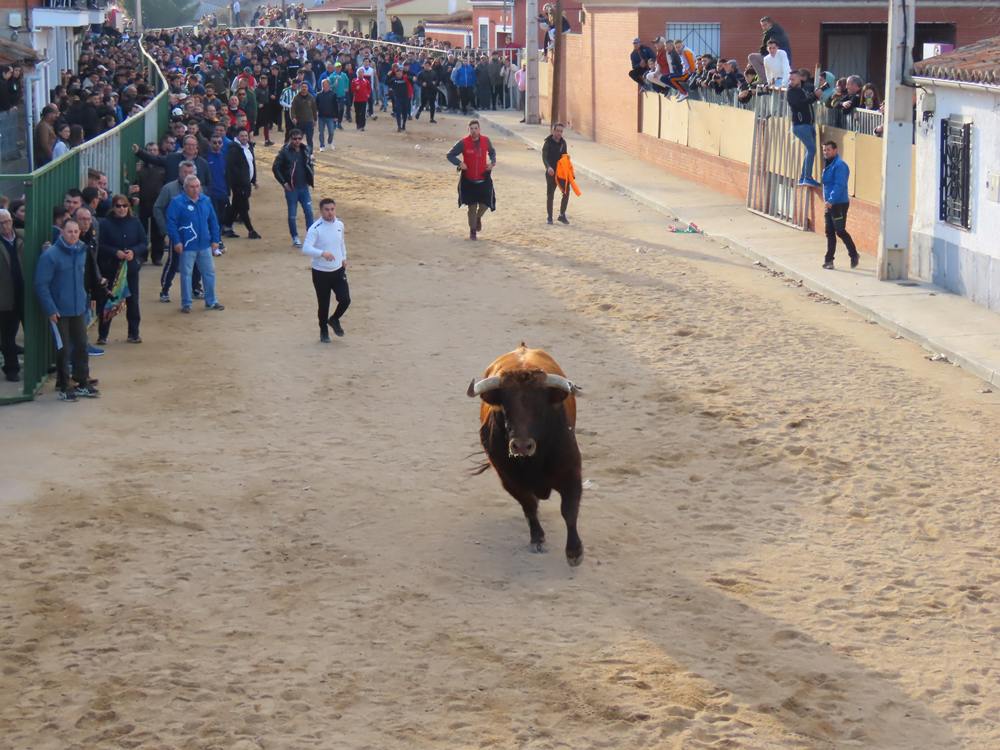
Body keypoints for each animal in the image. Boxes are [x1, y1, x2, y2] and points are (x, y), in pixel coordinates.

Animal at [468, 344, 584, 568]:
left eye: (540, 406)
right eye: (505, 407)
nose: (521, 445)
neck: (533, 462)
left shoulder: (571, 473)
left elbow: (569, 510)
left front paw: (574, 552)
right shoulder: (509, 480)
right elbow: (529, 506)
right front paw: (537, 539)